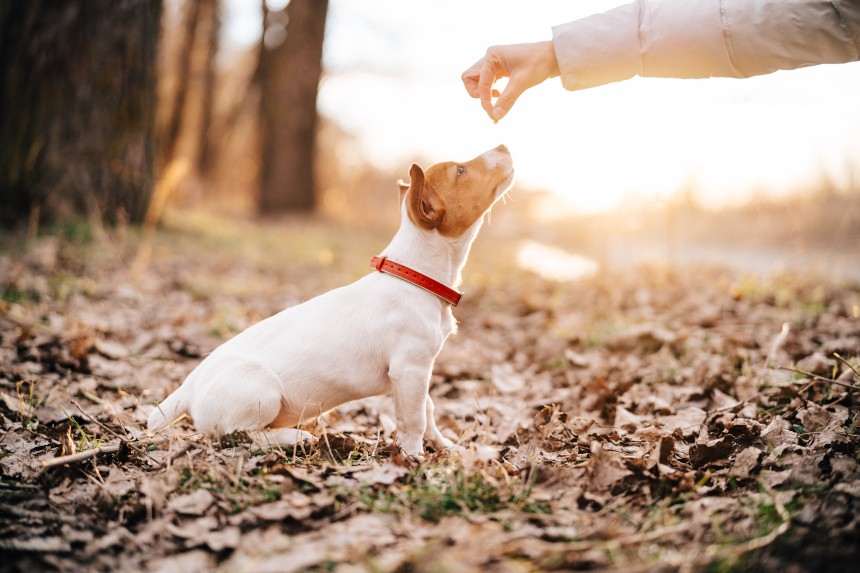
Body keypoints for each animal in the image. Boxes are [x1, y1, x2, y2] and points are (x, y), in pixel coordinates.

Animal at [148, 144, 512, 456]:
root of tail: (188, 388)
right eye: (460, 170)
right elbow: (415, 419)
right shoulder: (410, 368)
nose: (504, 146)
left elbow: (429, 408)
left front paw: (445, 447)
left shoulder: (412, 373)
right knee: (240, 436)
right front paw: (414, 457)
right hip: (260, 389)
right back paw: (294, 437)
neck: (414, 276)